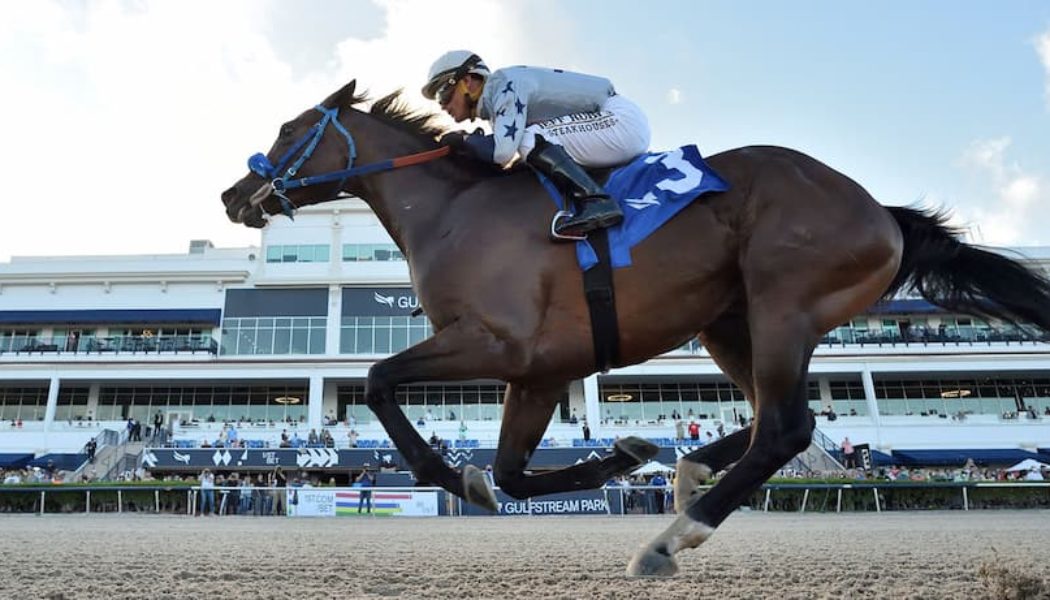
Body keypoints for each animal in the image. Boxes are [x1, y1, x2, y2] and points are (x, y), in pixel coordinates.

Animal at [221, 80, 1050, 576]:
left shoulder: (499, 342)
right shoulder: (541, 370)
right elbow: (515, 472)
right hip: (730, 322)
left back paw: (670, 536)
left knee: (785, 427)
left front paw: (453, 474)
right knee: (776, 427)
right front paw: (619, 454)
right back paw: (680, 469)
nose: (234, 194)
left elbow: (377, 380)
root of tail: (881, 211)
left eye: (291, 128)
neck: (456, 210)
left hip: (783, 304)